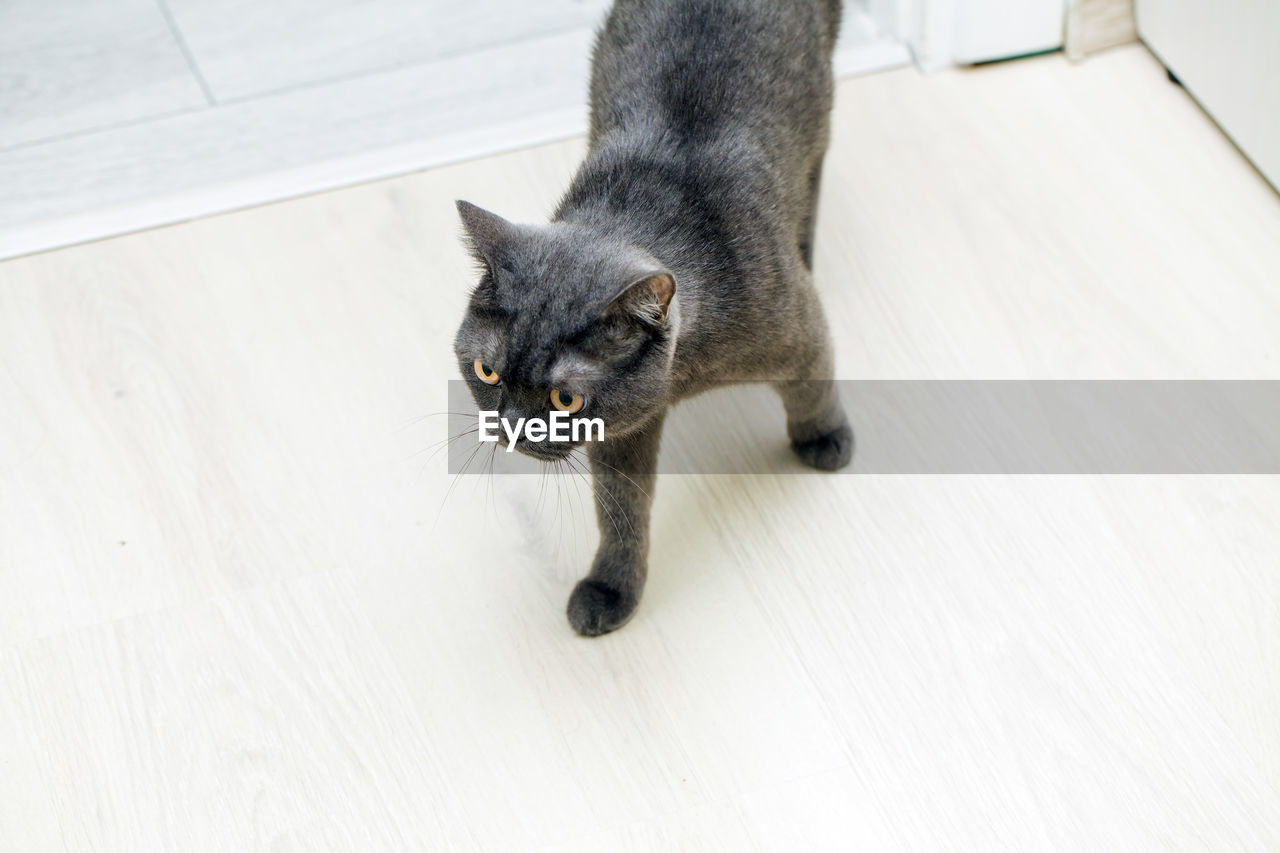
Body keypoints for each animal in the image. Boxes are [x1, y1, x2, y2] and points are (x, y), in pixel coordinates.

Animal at [455, 0, 855, 630]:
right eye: (486, 372)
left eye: (565, 399)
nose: (513, 427)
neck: (684, 378)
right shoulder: (625, 427)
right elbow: (620, 509)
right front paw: (611, 589)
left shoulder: (796, 327)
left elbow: (814, 382)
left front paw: (826, 439)